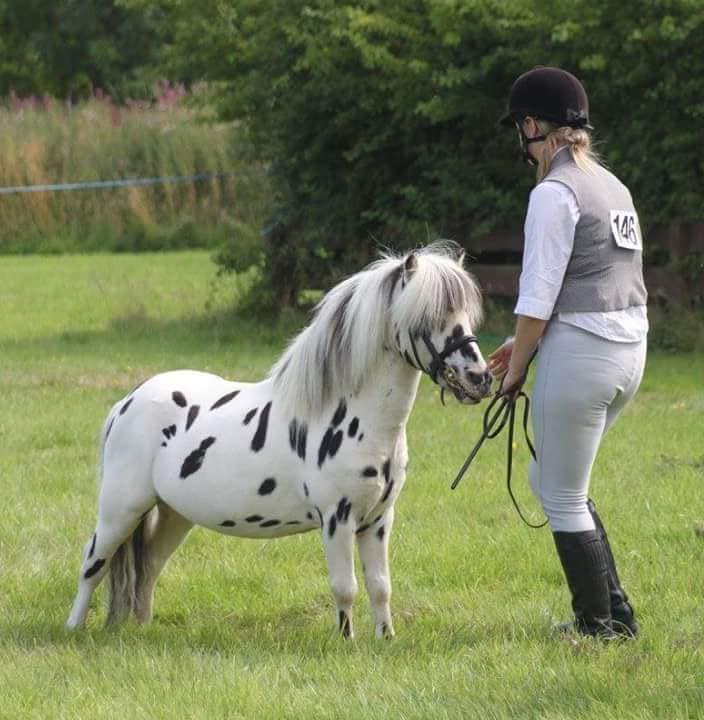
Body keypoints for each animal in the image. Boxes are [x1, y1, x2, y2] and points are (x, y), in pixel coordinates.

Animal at [69, 242, 492, 636]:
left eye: (466, 316)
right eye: (427, 319)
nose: (480, 378)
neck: (356, 419)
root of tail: (127, 402)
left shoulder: (377, 519)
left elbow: (380, 586)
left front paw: (385, 639)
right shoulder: (336, 519)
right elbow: (345, 588)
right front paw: (347, 642)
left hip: (174, 513)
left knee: (150, 565)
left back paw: (141, 627)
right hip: (121, 509)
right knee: (93, 562)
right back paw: (73, 628)